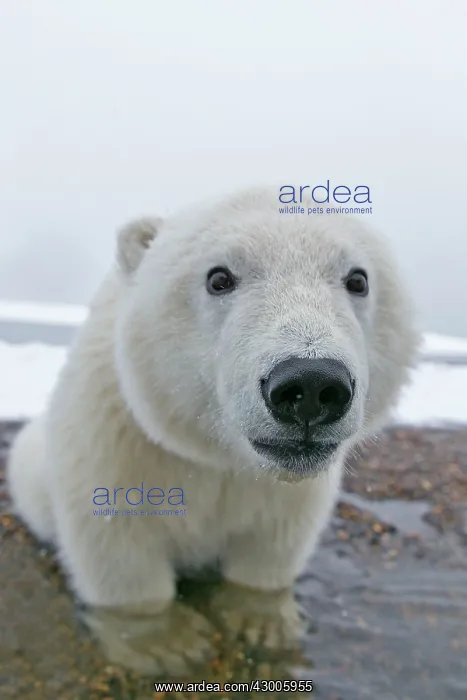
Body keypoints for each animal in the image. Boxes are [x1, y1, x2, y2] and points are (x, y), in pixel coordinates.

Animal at [7, 187, 419, 675]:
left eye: (358, 279)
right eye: (219, 277)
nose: (312, 384)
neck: (219, 456)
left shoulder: (289, 484)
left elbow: (275, 538)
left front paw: (262, 622)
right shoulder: (116, 434)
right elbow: (117, 540)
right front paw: (166, 643)